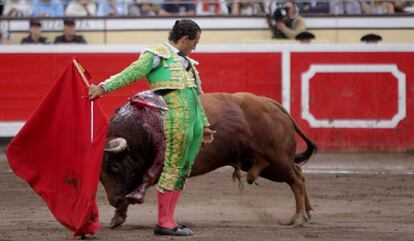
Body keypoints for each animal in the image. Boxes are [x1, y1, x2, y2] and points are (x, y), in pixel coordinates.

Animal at [100, 91, 316, 229]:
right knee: (298, 173)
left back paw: (299, 218)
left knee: (295, 180)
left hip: (277, 158)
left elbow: (143, 181)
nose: (114, 200)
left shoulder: (159, 162)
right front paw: (117, 218)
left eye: (116, 166)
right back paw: (308, 212)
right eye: (100, 177)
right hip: (264, 164)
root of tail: (271, 104)